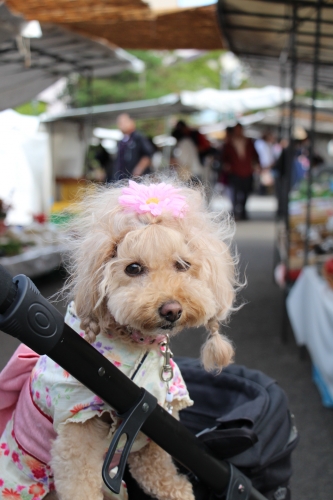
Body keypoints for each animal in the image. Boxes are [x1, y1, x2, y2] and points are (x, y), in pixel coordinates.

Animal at [0, 178, 236, 500]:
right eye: (133, 268)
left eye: (182, 265)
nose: (172, 309)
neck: (137, 346)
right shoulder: (77, 430)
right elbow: (79, 482)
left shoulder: (154, 420)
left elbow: (157, 464)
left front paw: (176, 490)